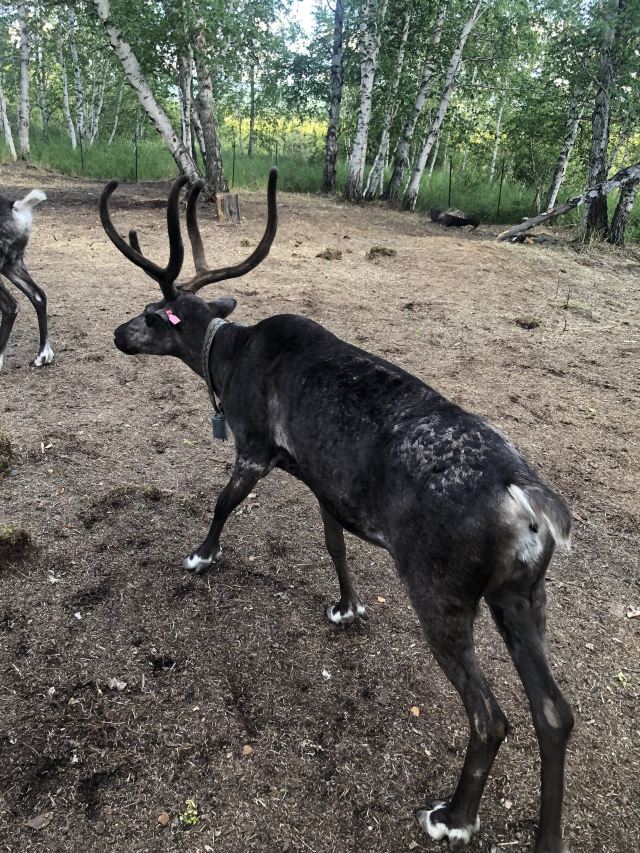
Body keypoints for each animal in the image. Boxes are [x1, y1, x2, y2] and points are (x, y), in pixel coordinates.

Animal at [99, 169, 573, 853]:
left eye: (146, 313)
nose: (116, 334)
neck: (223, 356)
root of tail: (526, 498)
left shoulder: (254, 449)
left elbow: (222, 503)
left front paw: (201, 554)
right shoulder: (324, 482)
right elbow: (334, 543)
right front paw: (347, 606)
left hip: (443, 594)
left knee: (490, 717)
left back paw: (453, 816)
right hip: (522, 596)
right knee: (554, 713)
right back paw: (546, 836)